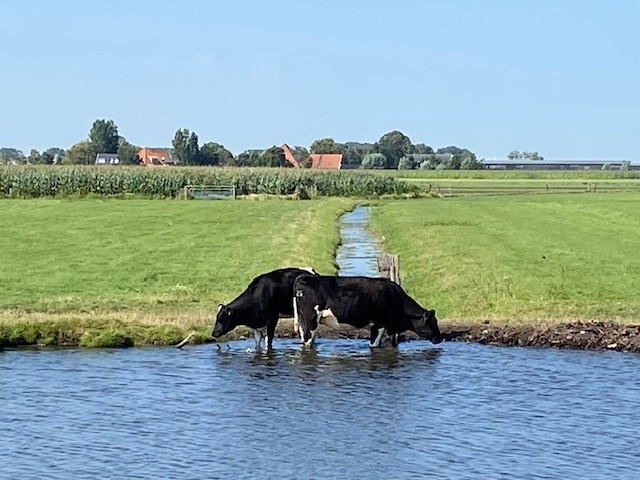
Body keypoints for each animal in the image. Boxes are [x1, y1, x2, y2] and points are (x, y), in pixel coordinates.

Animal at [293, 275, 443, 348]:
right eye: (432, 323)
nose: (440, 339)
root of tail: (303, 278)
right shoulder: (378, 324)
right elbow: (374, 345)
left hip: (302, 320)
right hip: (311, 320)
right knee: (308, 341)